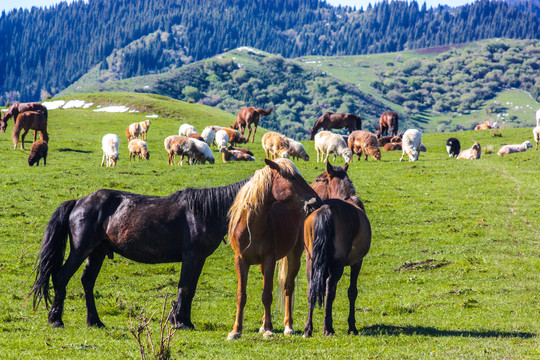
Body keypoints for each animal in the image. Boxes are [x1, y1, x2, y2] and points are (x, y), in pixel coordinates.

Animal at [29, 177, 249, 330]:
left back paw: (95, 321)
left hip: (97, 252)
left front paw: (184, 320)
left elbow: (190, 289)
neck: (204, 212)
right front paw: (179, 322)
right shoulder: (191, 257)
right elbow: (185, 288)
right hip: (81, 250)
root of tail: (78, 202)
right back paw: (56, 319)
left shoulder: (198, 259)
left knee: (87, 282)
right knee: (62, 277)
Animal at [227, 159, 320, 338]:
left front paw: (269, 330)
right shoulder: (240, 260)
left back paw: (288, 326)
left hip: (294, 257)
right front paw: (236, 330)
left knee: (288, 288)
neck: (251, 226)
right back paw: (263, 324)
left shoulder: (269, 259)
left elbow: (267, 295)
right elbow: (241, 295)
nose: (315, 201)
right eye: (292, 177)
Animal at [302, 163, 374, 338]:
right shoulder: (357, 262)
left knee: (311, 288)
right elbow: (352, 292)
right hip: (338, 264)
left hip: (310, 260)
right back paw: (328, 328)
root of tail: (326, 209)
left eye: (317, 180)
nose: (309, 201)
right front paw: (352, 325)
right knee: (330, 288)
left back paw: (308, 329)